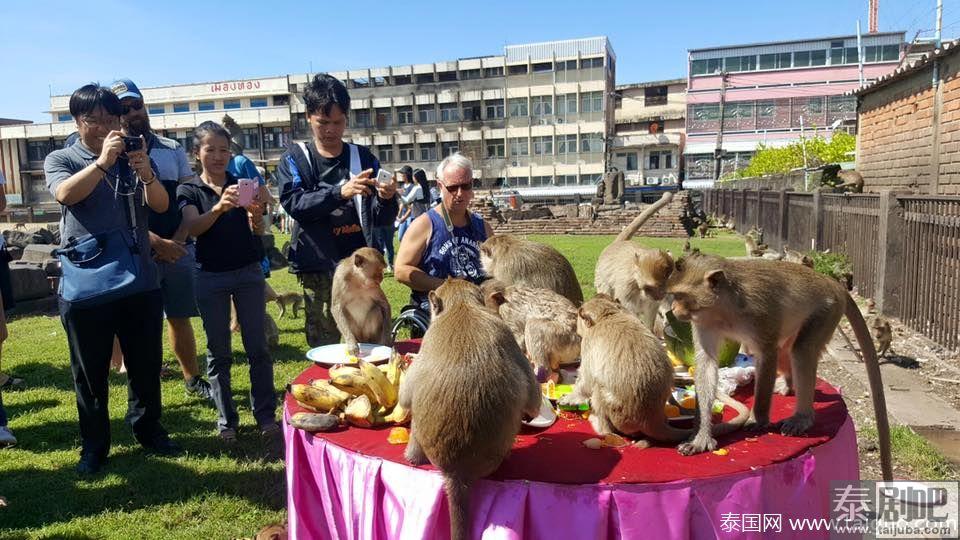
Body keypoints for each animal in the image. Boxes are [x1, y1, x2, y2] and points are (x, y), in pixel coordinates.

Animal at [592, 192, 676, 332]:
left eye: (663, 288)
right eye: (650, 287)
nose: (659, 296)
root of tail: (617, 244)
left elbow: (651, 309)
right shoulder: (626, 286)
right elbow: (628, 308)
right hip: (601, 277)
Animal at [664, 254, 896, 480]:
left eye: (680, 296)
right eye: (674, 296)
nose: (673, 309)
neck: (723, 307)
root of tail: (831, 282)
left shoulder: (760, 312)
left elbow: (767, 355)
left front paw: (758, 419)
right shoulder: (704, 322)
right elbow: (706, 364)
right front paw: (701, 435)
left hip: (827, 311)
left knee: (801, 350)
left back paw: (802, 418)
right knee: (786, 352)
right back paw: (788, 386)